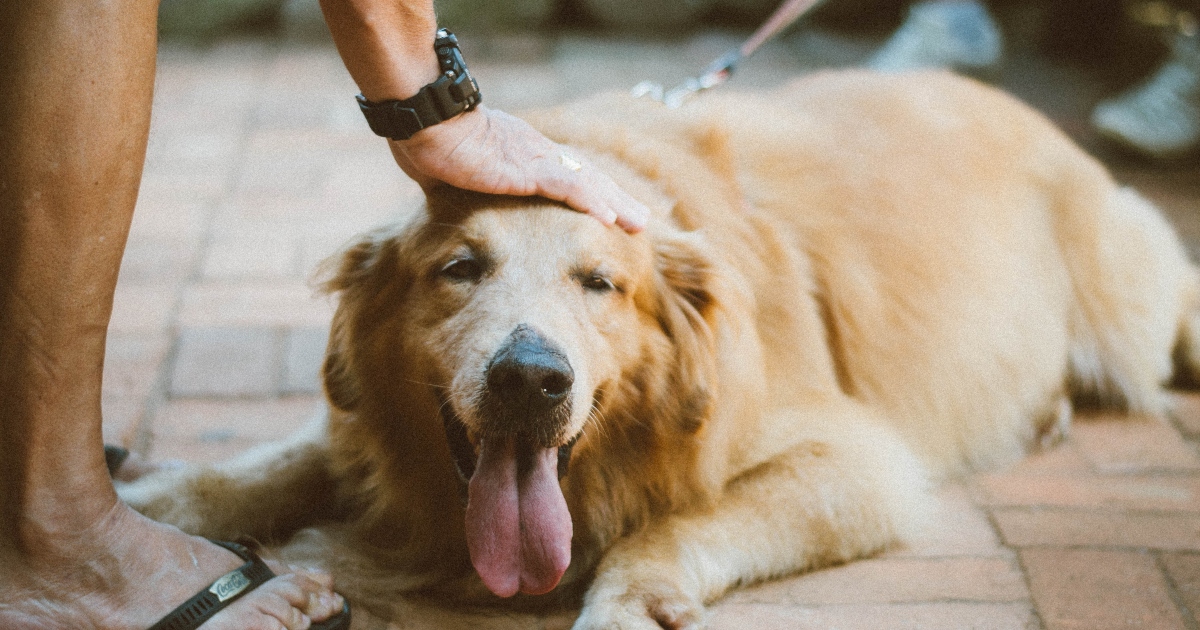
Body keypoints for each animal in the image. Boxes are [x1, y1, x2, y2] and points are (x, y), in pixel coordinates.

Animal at [117, 71, 1195, 624]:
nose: (529, 380)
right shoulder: (370, 427)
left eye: (602, 284)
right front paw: (150, 506)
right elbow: (268, 465)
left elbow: (675, 523)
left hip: (1135, 303)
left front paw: (630, 595)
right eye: (459, 268)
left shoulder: (857, 461)